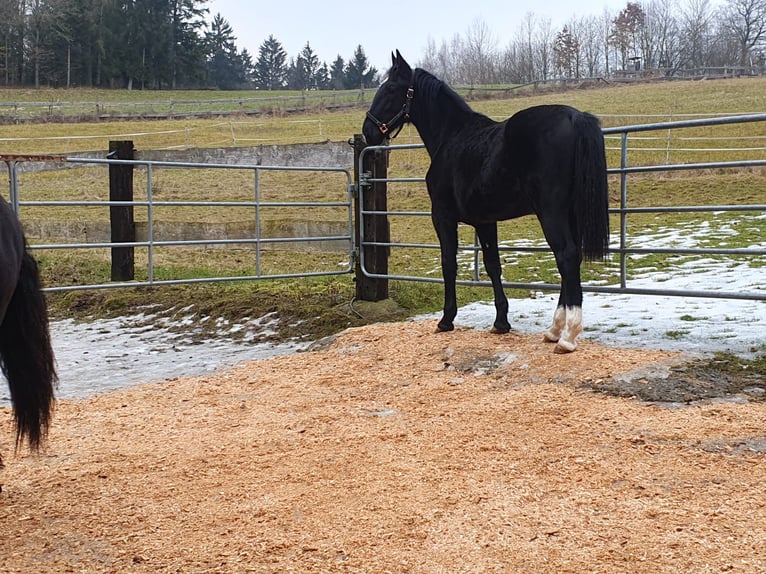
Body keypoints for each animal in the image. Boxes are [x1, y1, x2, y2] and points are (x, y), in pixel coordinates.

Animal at [366, 51, 612, 354]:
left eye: (390, 88)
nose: (368, 131)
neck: (452, 137)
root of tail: (574, 116)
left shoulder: (442, 217)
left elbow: (449, 263)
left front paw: (446, 320)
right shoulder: (485, 221)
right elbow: (493, 264)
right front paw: (501, 322)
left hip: (551, 212)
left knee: (565, 255)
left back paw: (567, 337)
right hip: (570, 212)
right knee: (572, 257)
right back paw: (554, 331)